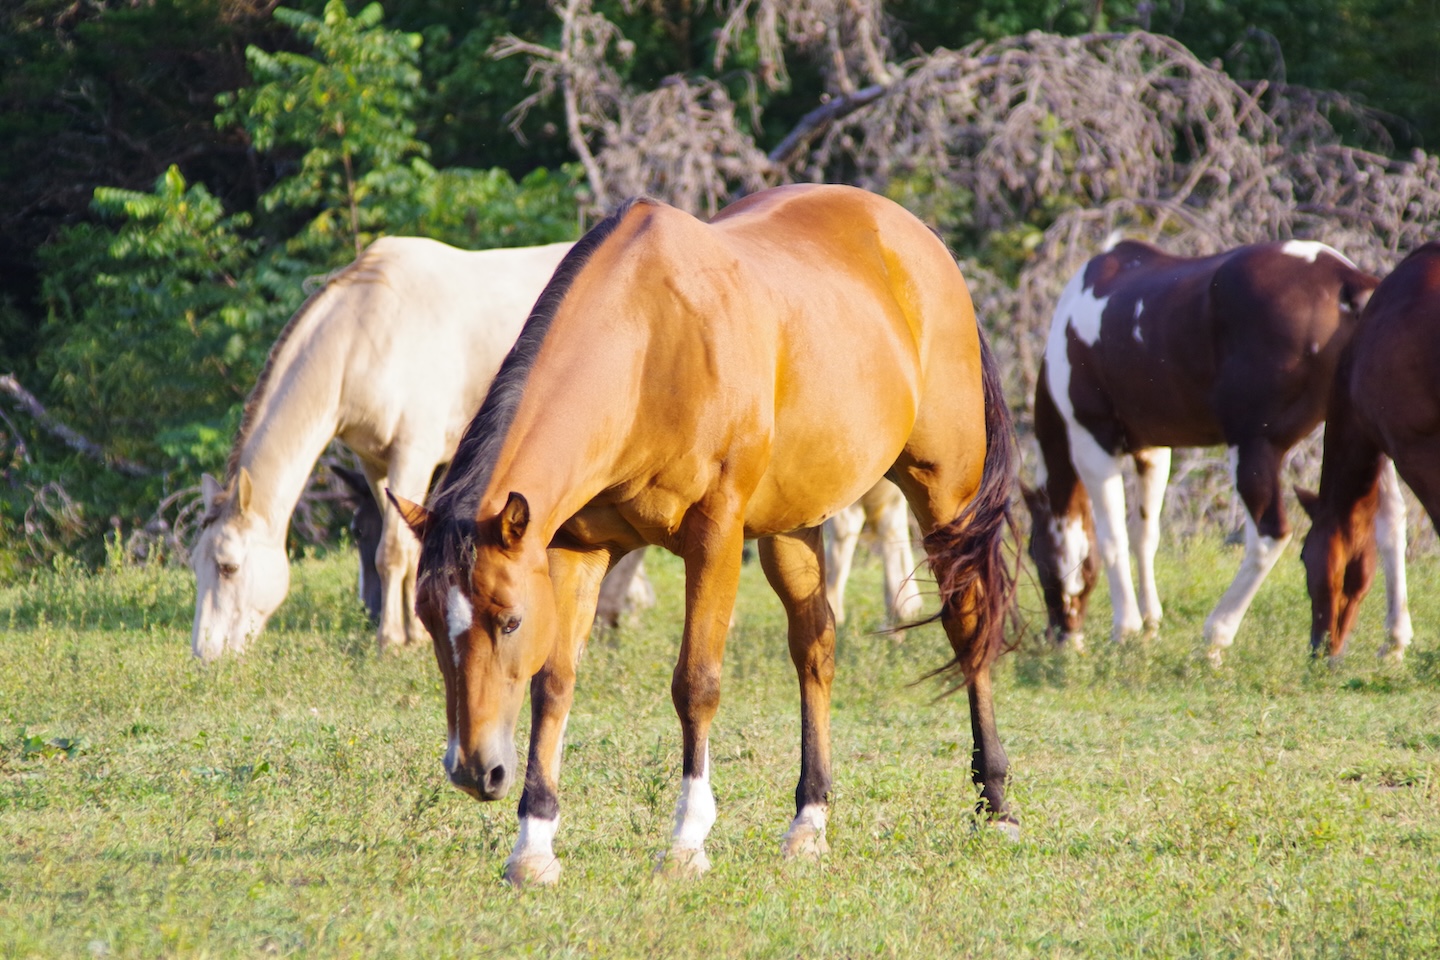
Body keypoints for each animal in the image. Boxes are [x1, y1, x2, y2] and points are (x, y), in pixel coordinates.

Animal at [189, 237, 574, 661]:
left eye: (228, 567)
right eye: (195, 565)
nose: (203, 653)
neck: (364, 338)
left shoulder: (414, 455)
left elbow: (392, 550)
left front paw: (389, 638)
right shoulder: (375, 463)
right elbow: (405, 545)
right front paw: (415, 634)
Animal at [1026, 238, 1412, 665]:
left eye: (1033, 552)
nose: (1059, 636)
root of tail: (1346, 280)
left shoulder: (1093, 443)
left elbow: (1112, 542)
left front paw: (1125, 630)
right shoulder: (1153, 451)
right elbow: (1144, 535)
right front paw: (1149, 627)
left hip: (1254, 449)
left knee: (1269, 535)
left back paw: (1215, 637)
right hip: (1361, 436)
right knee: (1390, 521)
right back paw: (1394, 642)